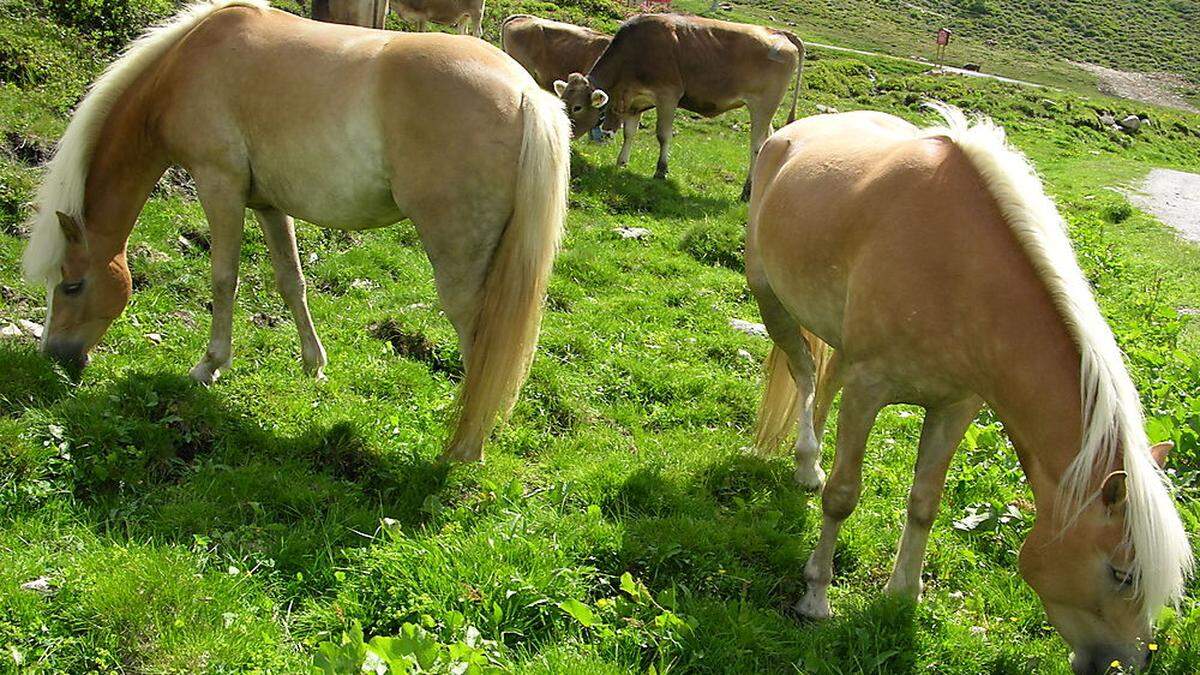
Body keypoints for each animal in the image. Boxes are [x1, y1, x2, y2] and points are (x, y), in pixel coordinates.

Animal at [19, 0, 571, 458]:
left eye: (72, 285)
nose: (54, 357)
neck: (185, 65)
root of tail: (526, 93)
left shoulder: (218, 185)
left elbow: (223, 279)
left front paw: (209, 366)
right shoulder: (267, 203)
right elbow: (291, 280)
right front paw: (313, 364)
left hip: (459, 261)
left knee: (479, 340)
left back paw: (464, 448)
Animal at [554, 14, 801, 198]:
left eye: (577, 107)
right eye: (563, 102)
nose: (562, 135)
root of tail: (779, 32)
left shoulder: (668, 95)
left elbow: (663, 135)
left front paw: (661, 171)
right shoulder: (635, 101)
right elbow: (629, 133)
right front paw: (621, 163)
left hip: (763, 104)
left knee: (757, 145)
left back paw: (747, 191)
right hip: (766, 111)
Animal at [748, 105, 1190, 667]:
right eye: (1122, 573)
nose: (1125, 664)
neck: (955, 267)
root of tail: (791, 131)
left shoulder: (956, 406)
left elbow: (925, 503)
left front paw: (902, 596)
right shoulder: (869, 391)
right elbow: (843, 496)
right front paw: (815, 596)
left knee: (822, 382)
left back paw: (809, 467)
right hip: (769, 299)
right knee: (804, 374)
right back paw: (807, 462)